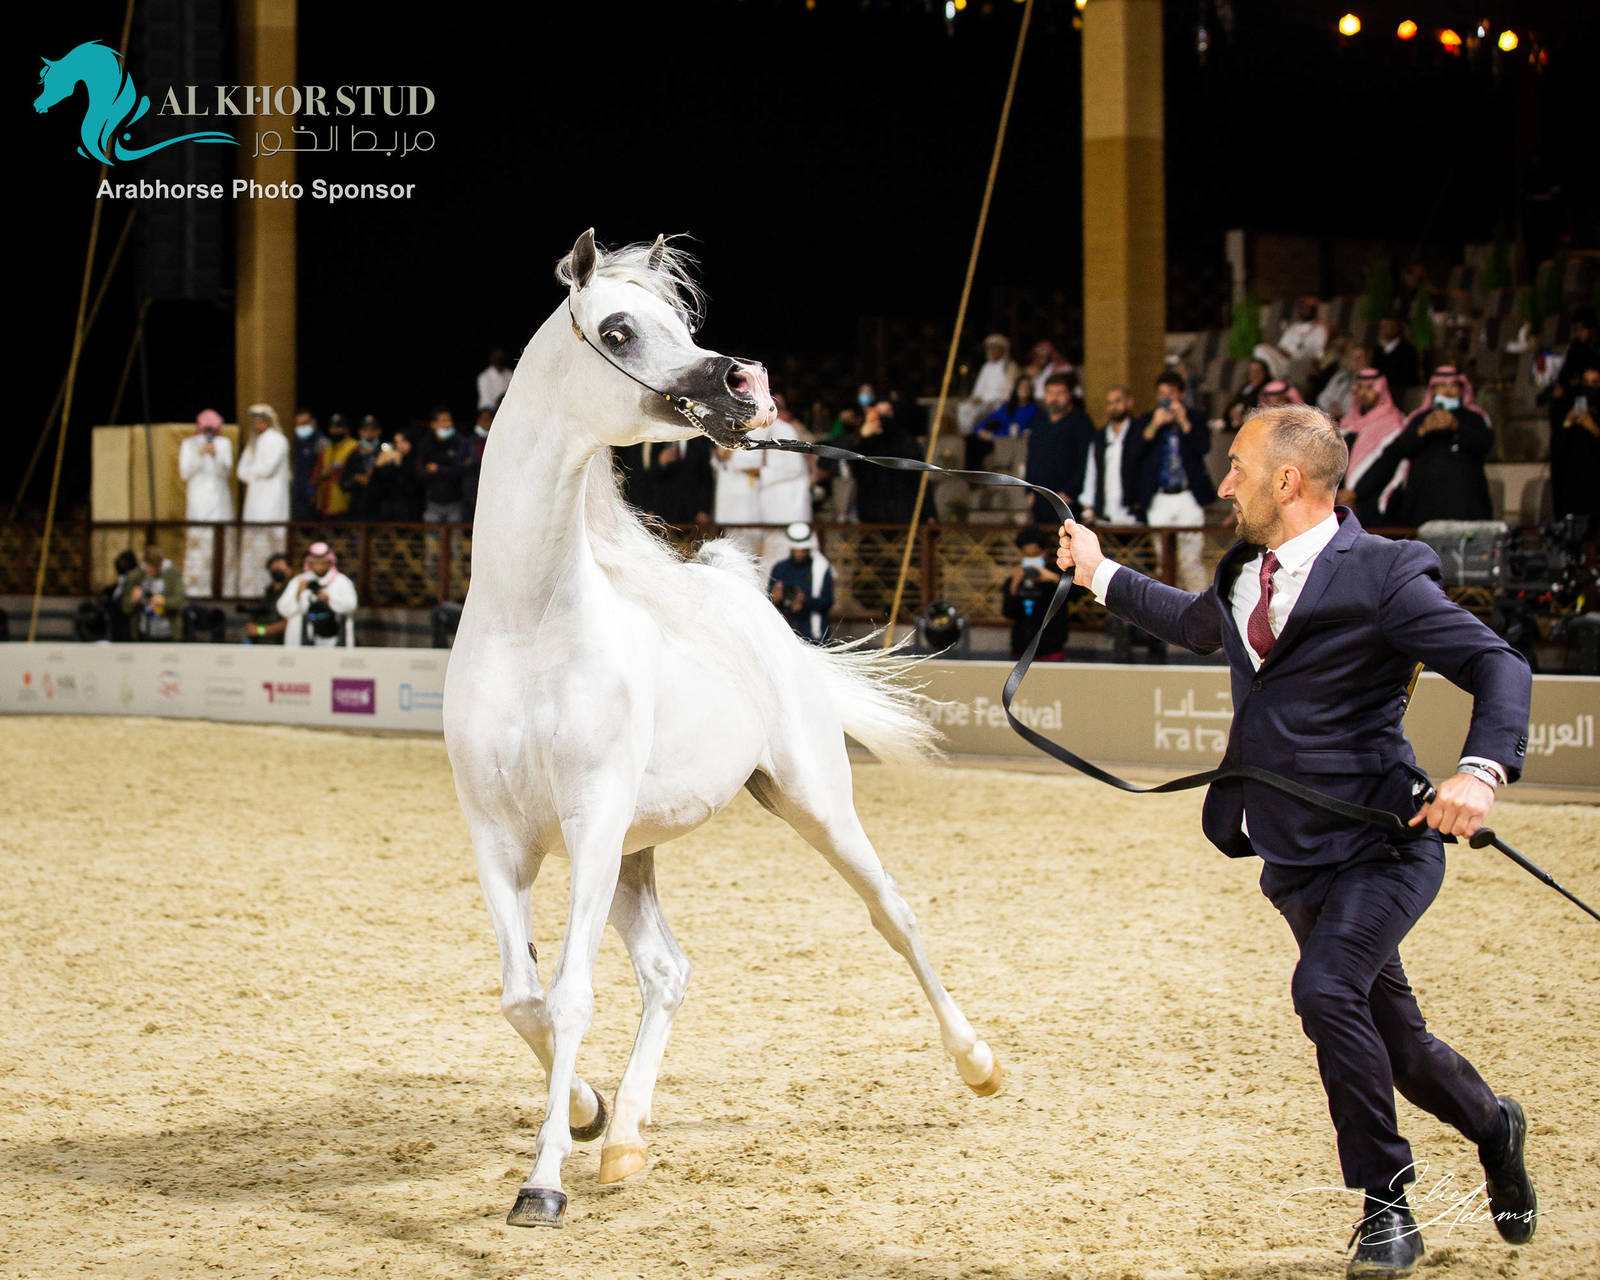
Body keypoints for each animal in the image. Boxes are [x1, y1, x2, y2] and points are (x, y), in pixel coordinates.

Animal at [443, 229, 1003, 1228]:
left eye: (680, 321)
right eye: (619, 329)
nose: (747, 384)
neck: (528, 625)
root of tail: (754, 605)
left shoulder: (590, 827)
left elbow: (570, 997)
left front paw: (542, 1184)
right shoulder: (499, 839)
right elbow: (523, 998)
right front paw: (582, 1114)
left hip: (811, 804)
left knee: (893, 915)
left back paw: (977, 1064)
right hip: (635, 857)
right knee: (667, 972)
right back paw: (624, 1139)